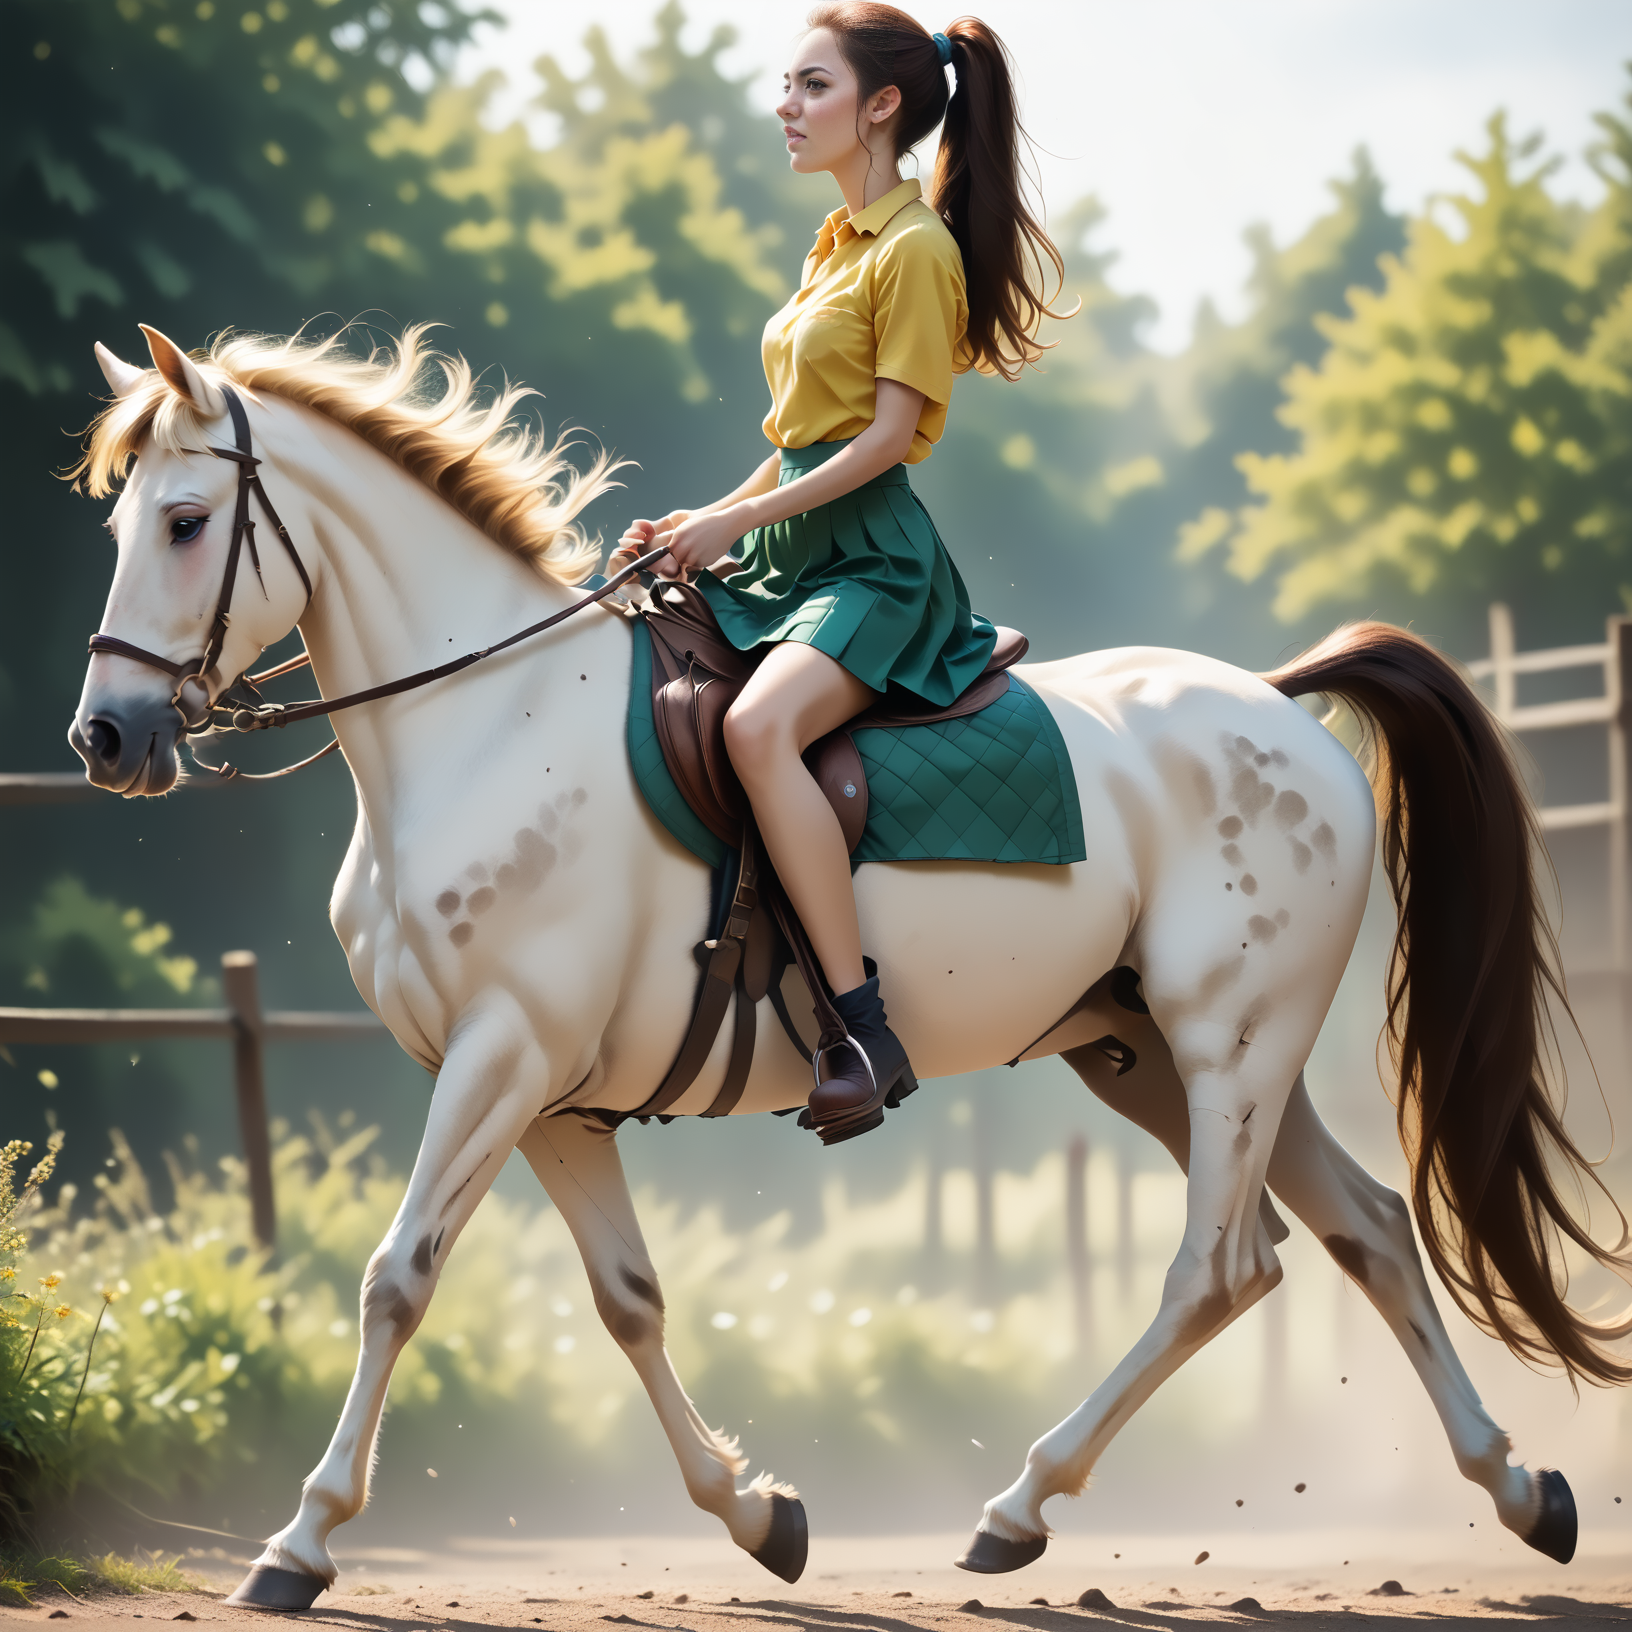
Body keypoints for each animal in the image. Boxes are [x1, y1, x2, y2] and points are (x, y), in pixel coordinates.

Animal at [64, 323, 1630, 1607]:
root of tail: (1281, 700)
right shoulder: (551, 1094)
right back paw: (1520, 1489)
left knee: (1218, 1266)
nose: (107, 737)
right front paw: (760, 1515)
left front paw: (299, 1542)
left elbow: (398, 1276)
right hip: (1154, 1056)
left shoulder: (502, 1059)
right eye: (123, 519)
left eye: (188, 522)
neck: (489, 726)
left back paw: (1017, 1507)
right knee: (1365, 1227)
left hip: (1229, 1045)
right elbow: (628, 1300)